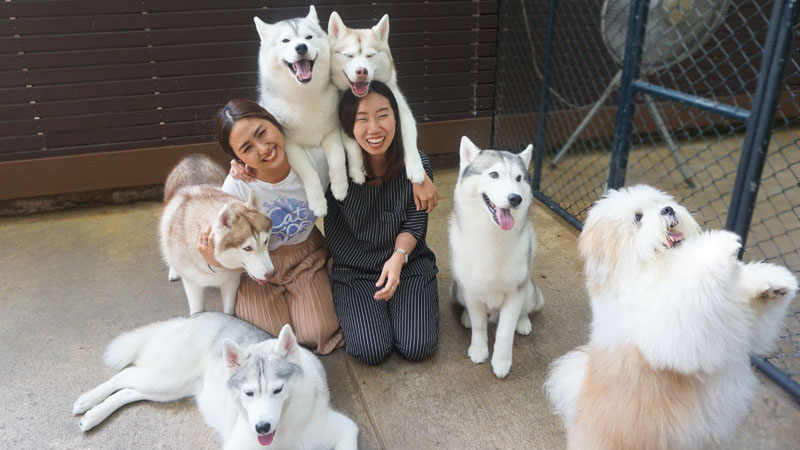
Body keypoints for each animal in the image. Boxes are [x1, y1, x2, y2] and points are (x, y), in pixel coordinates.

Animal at [548, 184, 796, 450]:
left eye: (658, 203)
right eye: (638, 217)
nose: (668, 209)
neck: (656, 268)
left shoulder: (735, 323)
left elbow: (751, 319)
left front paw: (774, 284)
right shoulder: (670, 327)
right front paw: (720, 245)